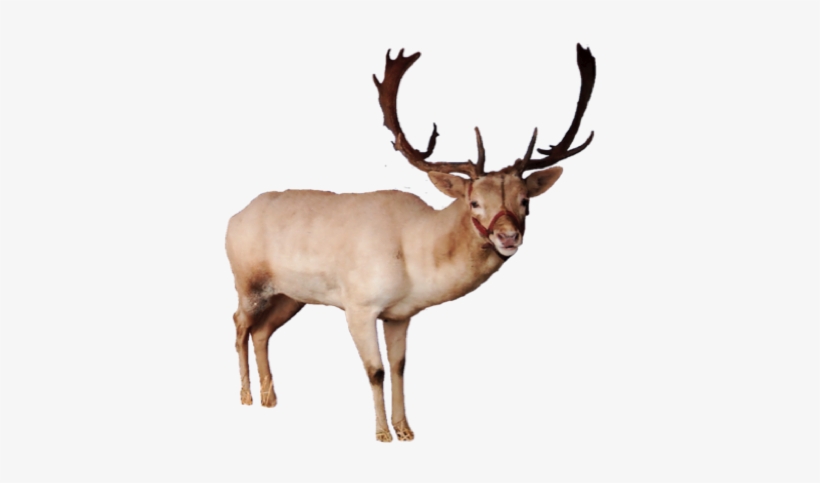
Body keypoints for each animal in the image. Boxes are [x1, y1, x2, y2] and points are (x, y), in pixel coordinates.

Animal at [225, 44, 596, 442]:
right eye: (474, 202)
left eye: (525, 201)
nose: (508, 236)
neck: (415, 261)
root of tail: (232, 219)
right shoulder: (359, 305)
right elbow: (375, 370)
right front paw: (382, 433)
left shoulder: (400, 313)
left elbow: (399, 366)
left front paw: (405, 429)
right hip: (248, 282)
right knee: (239, 324)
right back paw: (246, 396)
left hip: (290, 295)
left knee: (262, 331)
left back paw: (270, 398)